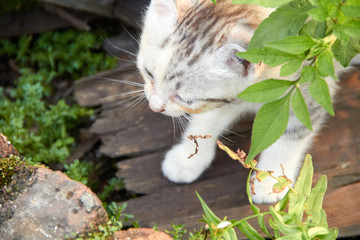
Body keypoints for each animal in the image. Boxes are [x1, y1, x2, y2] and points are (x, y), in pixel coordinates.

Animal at [138, 0, 352, 203]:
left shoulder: (305, 91)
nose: (154, 107)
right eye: (148, 73)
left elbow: (288, 136)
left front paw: (272, 183)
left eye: (186, 99)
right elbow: (207, 119)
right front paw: (186, 159)